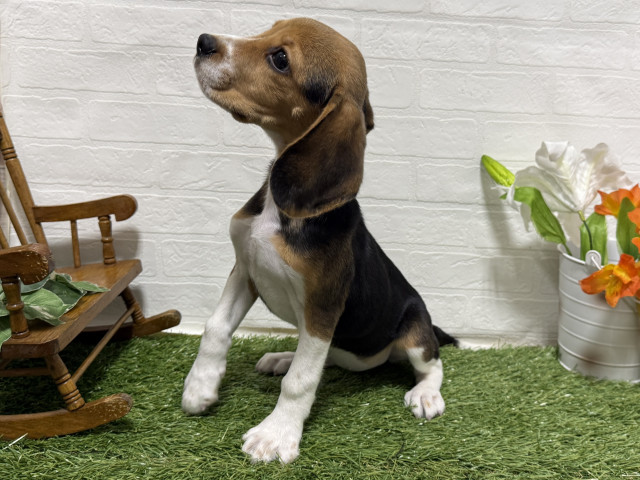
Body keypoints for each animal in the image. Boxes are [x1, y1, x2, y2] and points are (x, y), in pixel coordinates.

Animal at [182, 18, 456, 464]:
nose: (203, 42)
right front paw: (200, 387)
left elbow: (300, 382)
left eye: (280, 58)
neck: (279, 209)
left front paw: (275, 435)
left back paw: (426, 395)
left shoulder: (322, 306)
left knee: (432, 364)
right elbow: (215, 328)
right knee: (324, 359)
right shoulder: (246, 270)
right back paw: (282, 357)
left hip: (414, 330)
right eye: (269, 28)